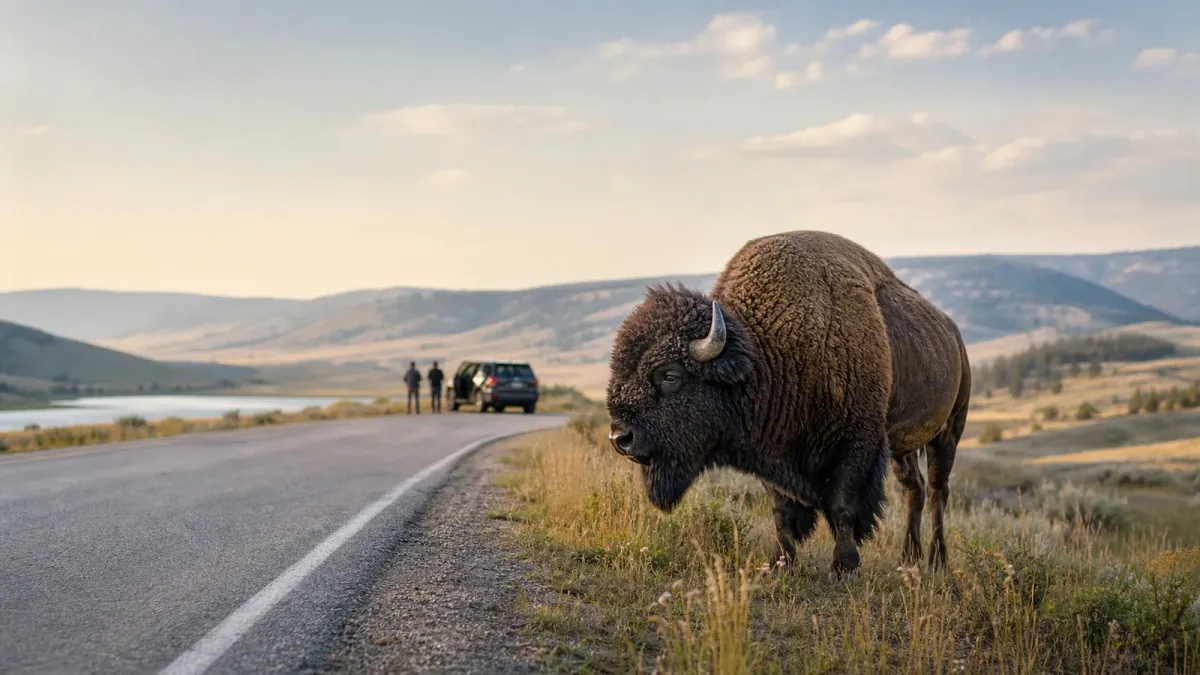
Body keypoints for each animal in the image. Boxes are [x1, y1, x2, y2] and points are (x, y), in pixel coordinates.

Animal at [605, 230, 970, 574]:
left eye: (670, 375)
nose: (620, 438)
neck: (766, 353)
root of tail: (954, 334)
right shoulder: (774, 449)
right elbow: (782, 511)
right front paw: (779, 563)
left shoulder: (857, 443)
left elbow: (842, 505)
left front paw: (844, 567)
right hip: (902, 447)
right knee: (914, 489)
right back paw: (908, 559)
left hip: (948, 432)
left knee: (937, 491)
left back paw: (937, 562)